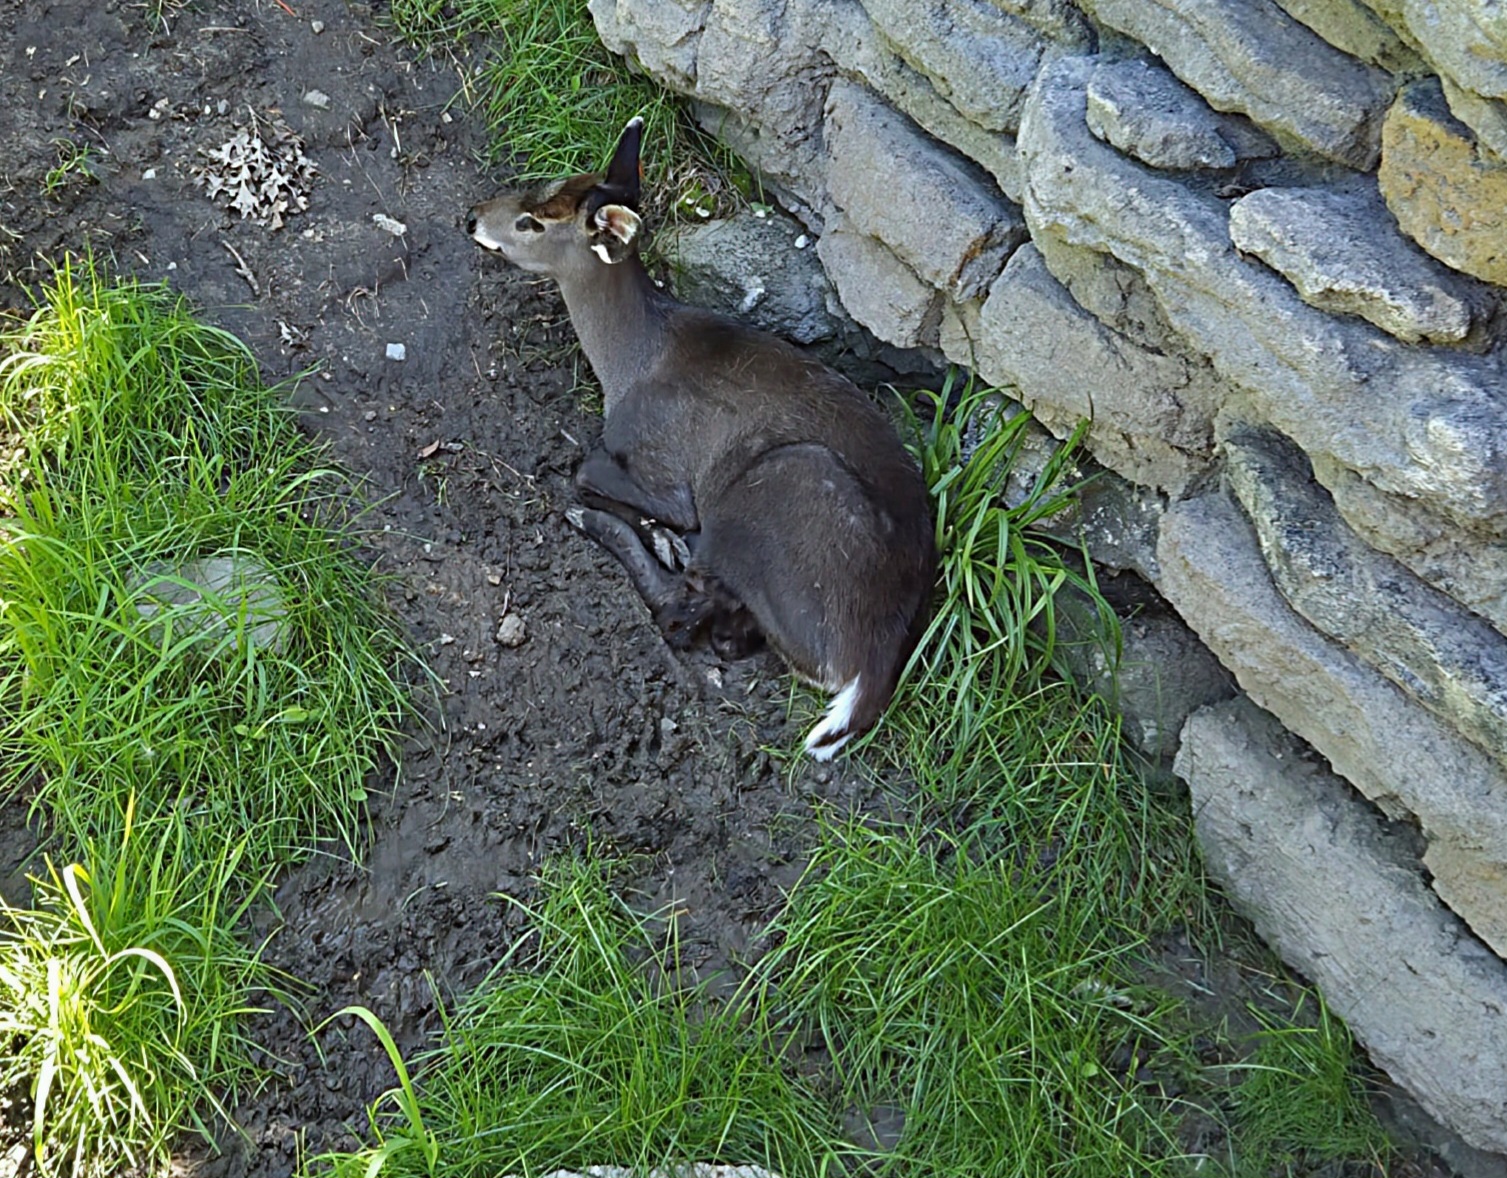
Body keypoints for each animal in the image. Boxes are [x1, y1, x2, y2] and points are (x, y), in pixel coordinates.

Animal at [466, 118, 937, 759]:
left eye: (532, 224)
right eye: (543, 183)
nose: (472, 216)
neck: (629, 363)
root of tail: (868, 670)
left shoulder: (666, 470)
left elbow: (587, 470)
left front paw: (653, 529)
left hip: (774, 486)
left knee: (683, 610)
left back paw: (611, 530)